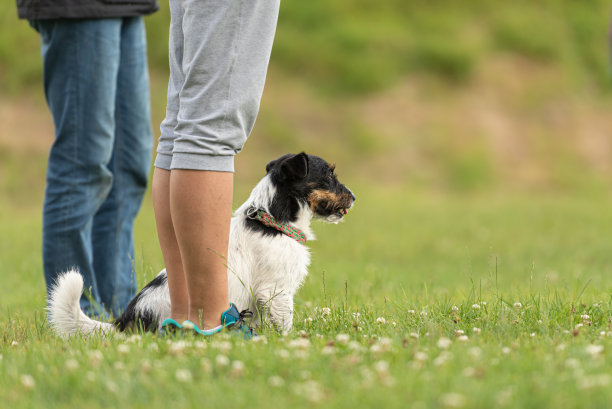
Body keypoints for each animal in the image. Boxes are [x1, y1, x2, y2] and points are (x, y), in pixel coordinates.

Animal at [50, 153, 356, 338]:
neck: (271, 220)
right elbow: (284, 323)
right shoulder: (275, 291)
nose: (354, 197)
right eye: (329, 174)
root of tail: (124, 322)